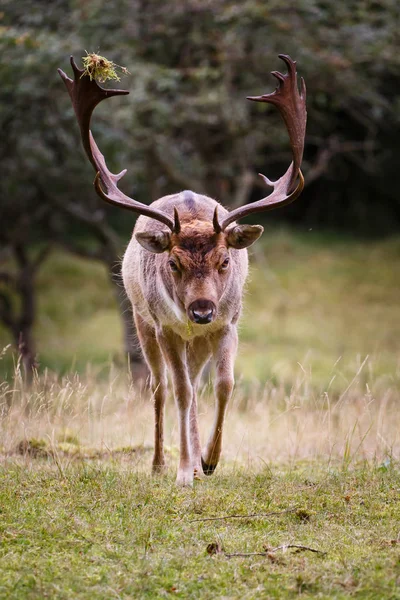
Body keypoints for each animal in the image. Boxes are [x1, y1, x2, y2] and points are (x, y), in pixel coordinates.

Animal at [58, 54, 306, 488]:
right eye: (173, 263)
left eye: (225, 260)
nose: (201, 309)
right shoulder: (167, 328)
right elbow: (181, 392)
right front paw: (183, 472)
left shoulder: (228, 324)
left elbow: (224, 385)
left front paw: (208, 460)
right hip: (143, 323)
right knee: (162, 387)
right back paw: (161, 463)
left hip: (198, 339)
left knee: (192, 381)